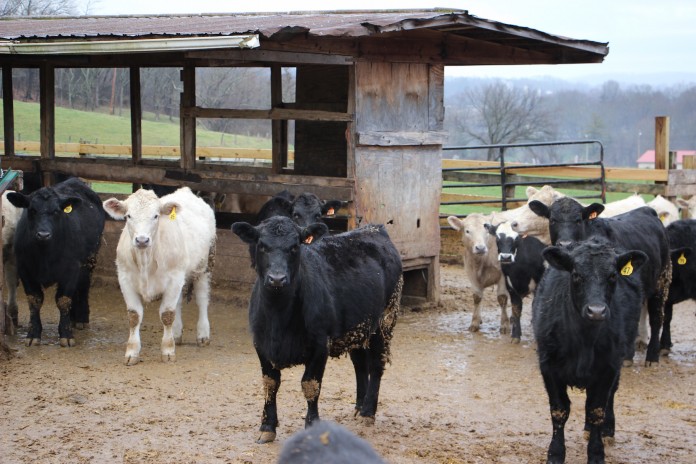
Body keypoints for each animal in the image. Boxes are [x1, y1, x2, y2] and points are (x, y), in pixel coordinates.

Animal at [6, 177, 105, 347]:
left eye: (56, 211)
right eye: (32, 210)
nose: (43, 234)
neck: (45, 254)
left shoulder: (71, 269)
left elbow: (63, 300)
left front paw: (66, 334)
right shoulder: (25, 270)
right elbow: (35, 300)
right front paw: (33, 333)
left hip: (89, 260)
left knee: (83, 287)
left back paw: (81, 318)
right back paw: (73, 318)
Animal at [102, 187, 216, 365]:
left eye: (156, 215)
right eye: (128, 216)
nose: (142, 240)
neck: (146, 260)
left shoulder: (174, 279)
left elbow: (167, 314)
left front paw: (168, 351)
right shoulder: (125, 279)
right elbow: (134, 316)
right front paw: (132, 352)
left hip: (204, 267)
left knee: (202, 299)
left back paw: (203, 334)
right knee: (179, 303)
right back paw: (176, 334)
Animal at [232, 216, 403, 443]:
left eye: (295, 247)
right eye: (262, 245)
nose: (277, 278)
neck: (278, 317)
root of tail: (374, 228)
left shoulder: (320, 345)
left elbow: (310, 386)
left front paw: (311, 425)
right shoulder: (261, 345)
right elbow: (270, 384)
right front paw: (267, 426)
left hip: (384, 323)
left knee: (376, 364)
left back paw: (367, 412)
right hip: (358, 328)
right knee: (360, 364)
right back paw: (358, 407)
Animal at [528, 197, 672, 366]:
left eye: (578, 220)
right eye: (552, 220)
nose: (565, 244)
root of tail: (647, 210)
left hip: (662, 281)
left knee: (656, 317)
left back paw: (652, 356)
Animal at [533, 237, 647, 464]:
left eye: (612, 275)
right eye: (576, 274)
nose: (596, 311)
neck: (584, 341)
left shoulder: (608, 368)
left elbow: (596, 411)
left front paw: (596, 453)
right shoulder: (548, 366)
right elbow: (559, 410)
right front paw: (555, 453)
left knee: (609, 397)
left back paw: (607, 431)